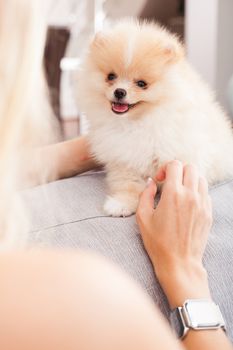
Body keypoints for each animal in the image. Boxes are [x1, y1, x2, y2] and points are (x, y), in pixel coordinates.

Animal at [77, 19, 233, 216]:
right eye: (111, 76)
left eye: (141, 84)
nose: (119, 91)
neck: (136, 122)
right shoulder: (124, 161)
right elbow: (129, 185)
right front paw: (122, 204)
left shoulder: (179, 156)